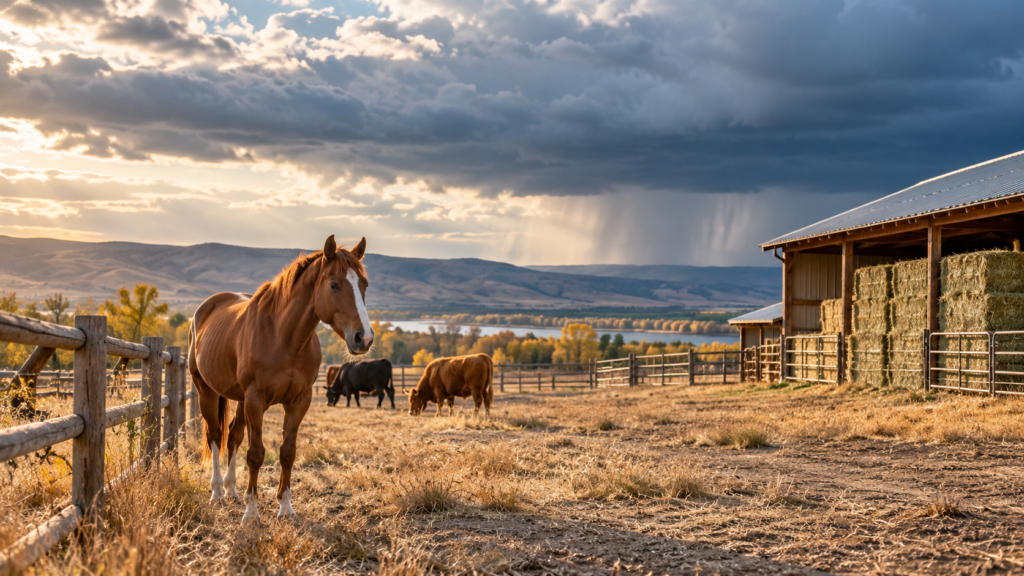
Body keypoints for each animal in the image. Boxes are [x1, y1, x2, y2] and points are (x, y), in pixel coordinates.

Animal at [188, 235, 373, 523]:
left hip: (239, 399)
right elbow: (256, 454)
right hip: (206, 390)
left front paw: (285, 507)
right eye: (333, 284)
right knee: (215, 435)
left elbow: (287, 452)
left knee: (233, 435)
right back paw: (217, 491)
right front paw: (252, 512)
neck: (283, 338)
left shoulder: (299, 401)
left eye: (364, 284)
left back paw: (231, 489)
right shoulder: (255, 400)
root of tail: (206, 308)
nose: (363, 338)